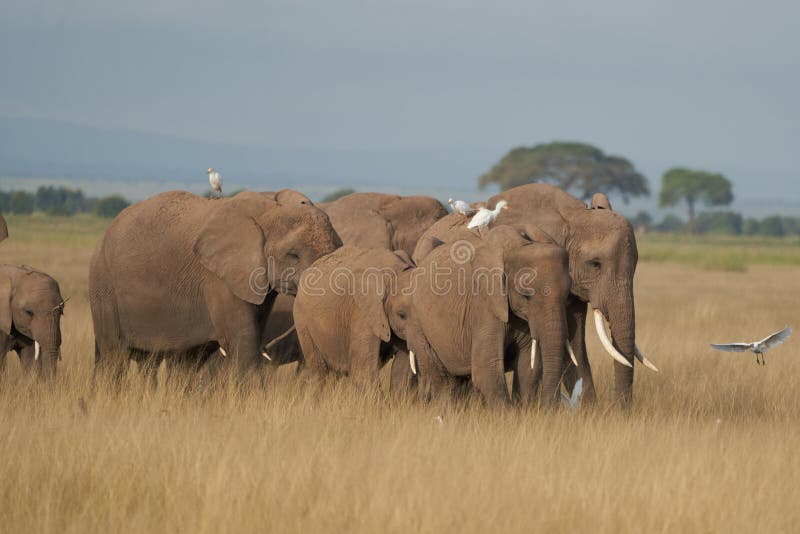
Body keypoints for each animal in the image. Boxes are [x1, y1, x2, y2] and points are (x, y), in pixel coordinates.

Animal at [90, 191, 340, 388]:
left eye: (339, 247)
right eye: (293, 255)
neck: (268, 210)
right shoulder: (219, 279)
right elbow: (243, 345)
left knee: (176, 362)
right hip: (105, 288)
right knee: (114, 357)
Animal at [296, 247, 418, 390]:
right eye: (401, 315)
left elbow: (402, 369)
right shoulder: (362, 313)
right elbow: (363, 371)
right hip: (302, 322)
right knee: (319, 371)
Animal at [410, 226, 572, 406]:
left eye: (567, 295)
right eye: (526, 295)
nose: (549, 406)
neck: (519, 245)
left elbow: (528, 368)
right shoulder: (484, 305)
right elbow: (486, 370)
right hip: (417, 321)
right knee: (443, 380)